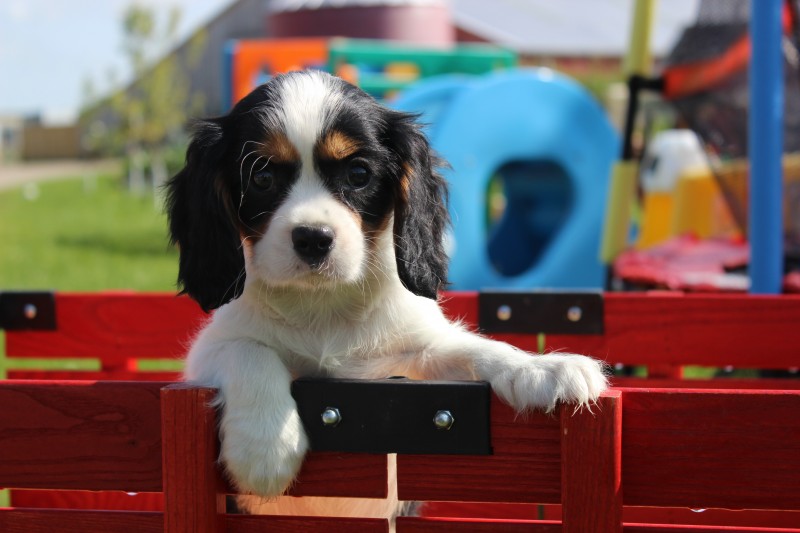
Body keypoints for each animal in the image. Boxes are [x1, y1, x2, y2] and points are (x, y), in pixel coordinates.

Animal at [167, 69, 608, 512]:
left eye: (359, 174)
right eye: (261, 178)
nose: (313, 238)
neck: (322, 303)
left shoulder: (413, 359)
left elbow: (473, 349)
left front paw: (542, 368)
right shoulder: (207, 352)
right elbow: (249, 351)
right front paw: (264, 448)